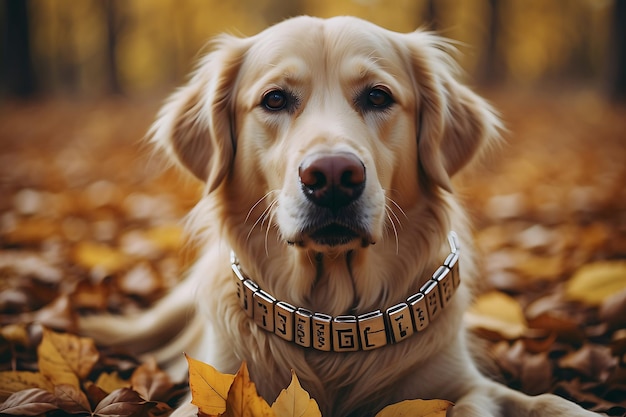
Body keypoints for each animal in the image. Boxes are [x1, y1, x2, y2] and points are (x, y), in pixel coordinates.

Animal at [80, 15, 596, 416]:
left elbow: (542, 401)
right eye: (274, 99)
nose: (332, 176)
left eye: (378, 96)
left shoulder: (459, 382)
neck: (334, 320)